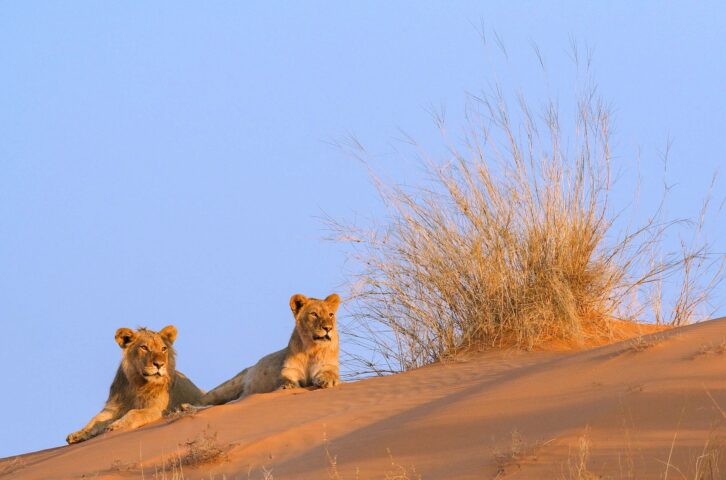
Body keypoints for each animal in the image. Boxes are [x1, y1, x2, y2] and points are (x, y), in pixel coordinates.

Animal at [66, 325, 203, 444]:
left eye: (163, 349)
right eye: (144, 347)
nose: (159, 364)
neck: (137, 384)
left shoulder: (158, 409)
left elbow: (134, 413)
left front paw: (117, 425)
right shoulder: (112, 407)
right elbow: (96, 419)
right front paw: (78, 433)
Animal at [197, 293, 341, 405]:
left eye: (331, 314)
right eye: (314, 314)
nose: (328, 328)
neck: (311, 348)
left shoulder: (328, 366)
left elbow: (330, 373)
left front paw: (327, 381)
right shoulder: (289, 370)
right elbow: (285, 379)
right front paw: (287, 386)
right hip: (228, 386)